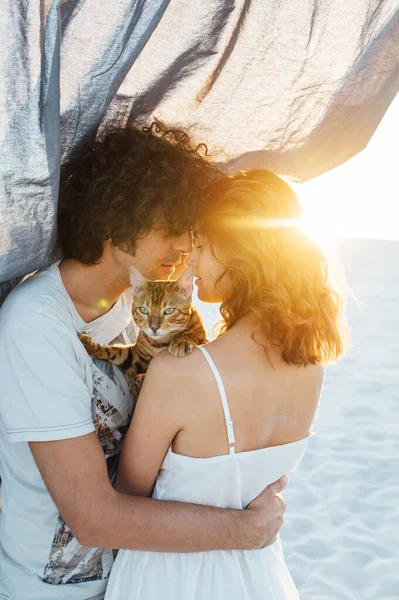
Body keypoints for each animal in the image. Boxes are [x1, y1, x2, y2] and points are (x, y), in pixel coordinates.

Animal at [79, 266, 209, 394]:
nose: (154, 327)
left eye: (169, 311)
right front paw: (91, 345)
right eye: (143, 310)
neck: (159, 343)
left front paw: (182, 341)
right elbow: (116, 352)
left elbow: (195, 335)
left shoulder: (204, 338)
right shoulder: (137, 360)